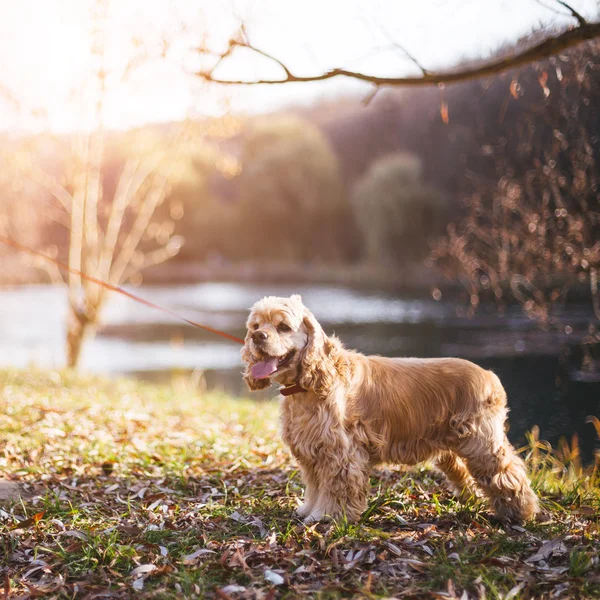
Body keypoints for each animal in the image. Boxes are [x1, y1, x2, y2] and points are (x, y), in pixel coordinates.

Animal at [241, 296, 540, 524]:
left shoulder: (340, 453)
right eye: (255, 325)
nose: (257, 336)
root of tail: (490, 375)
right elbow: (315, 486)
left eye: (282, 326)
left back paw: (521, 513)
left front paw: (327, 516)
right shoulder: (311, 452)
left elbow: (335, 490)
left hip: (481, 444)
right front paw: (308, 510)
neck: (307, 387)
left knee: (509, 473)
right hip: (453, 449)